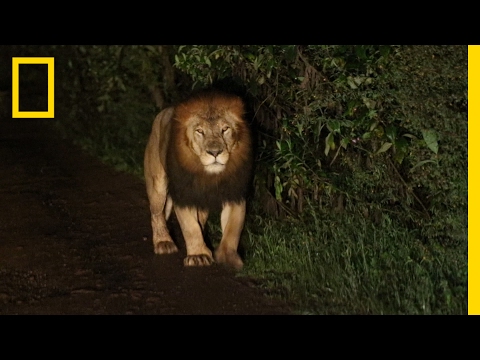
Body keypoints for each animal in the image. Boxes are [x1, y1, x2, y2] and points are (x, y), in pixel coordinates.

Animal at [143, 90, 253, 270]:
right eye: (200, 131)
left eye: (225, 129)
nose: (214, 152)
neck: (209, 175)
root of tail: (163, 112)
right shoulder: (184, 194)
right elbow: (190, 227)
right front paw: (198, 255)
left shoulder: (234, 193)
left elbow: (232, 228)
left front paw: (227, 257)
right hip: (157, 183)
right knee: (157, 213)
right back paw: (163, 242)